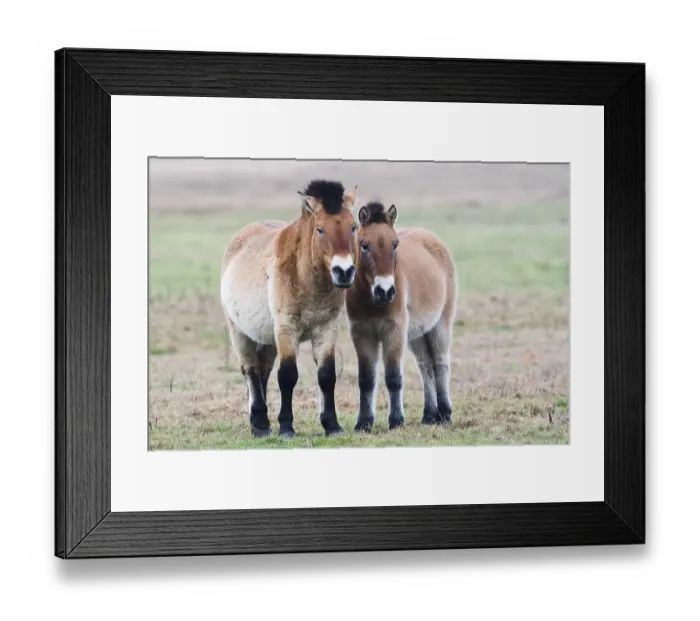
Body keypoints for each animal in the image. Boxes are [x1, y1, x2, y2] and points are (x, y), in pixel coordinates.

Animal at [220, 180, 359, 439]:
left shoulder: (327, 329)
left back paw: (258, 423)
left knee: (262, 372)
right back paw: (261, 424)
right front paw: (286, 427)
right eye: (320, 229)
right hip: (240, 333)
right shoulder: (287, 329)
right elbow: (287, 376)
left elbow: (327, 375)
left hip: (267, 339)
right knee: (251, 370)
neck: (305, 277)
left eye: (353, 227)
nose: (344, 271)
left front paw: (332, 425)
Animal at [345, 202, 457, 432]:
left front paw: (396, 421)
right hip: (418, 334)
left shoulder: (394, 332)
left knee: (441, 363)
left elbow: (393, 377)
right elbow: (366, 379)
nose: (385, 291)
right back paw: (429, 415)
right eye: (364, 245)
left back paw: (445, 413)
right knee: (426, 366)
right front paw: (363, 422)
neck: (372, 301)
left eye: (395, 244)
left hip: (440, 326)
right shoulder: (362, 335)